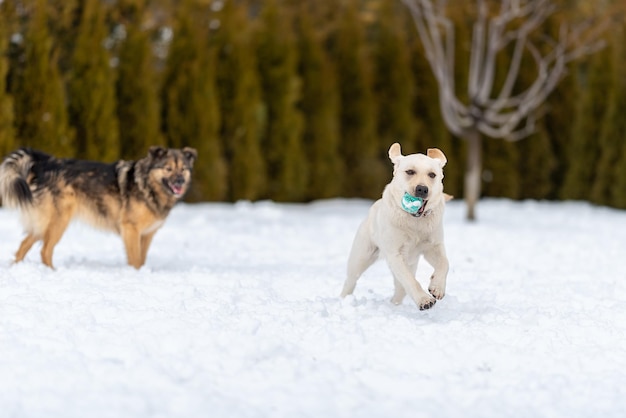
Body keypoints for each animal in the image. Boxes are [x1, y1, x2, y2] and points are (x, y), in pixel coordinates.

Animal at [0, 146, 195, 268]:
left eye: (183, 169)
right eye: (168, 169)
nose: (180, 181)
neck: (147, 185)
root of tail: (46, 162)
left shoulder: (147, 234)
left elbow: (142, 258)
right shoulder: (130, 229)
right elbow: (135, 260)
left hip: (44, 223)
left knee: (24, 245)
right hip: (58, 221)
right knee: (45, 250)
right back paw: (52, 272)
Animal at [342, 144, 448, 310]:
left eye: (432, 175)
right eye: (410, 172)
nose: (422, 189)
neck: (415, 221)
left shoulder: (434, 246)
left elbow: (445, 263)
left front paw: (437, 287)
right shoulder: (395, 255)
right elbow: (410, 280)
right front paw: (424, 299)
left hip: (410, 263)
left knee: (400, 290)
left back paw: (395, 306)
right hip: (360, 258)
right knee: (350, 281)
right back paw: (343, 300)